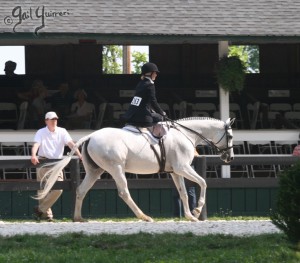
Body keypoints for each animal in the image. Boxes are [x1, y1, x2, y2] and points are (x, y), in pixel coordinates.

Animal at [37, 117, 234, 223]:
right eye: (230, 136)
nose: (229, 158)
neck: (186, 134)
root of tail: (91, 136)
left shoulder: (176, 172)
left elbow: (184, 193)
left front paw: (189, 216)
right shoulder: (183, 168)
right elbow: (203, 182)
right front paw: (197, 211)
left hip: (95, 171)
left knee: (81, 190)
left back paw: (78, 218)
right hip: (116, 168)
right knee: (124, 192)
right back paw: (144, 216)